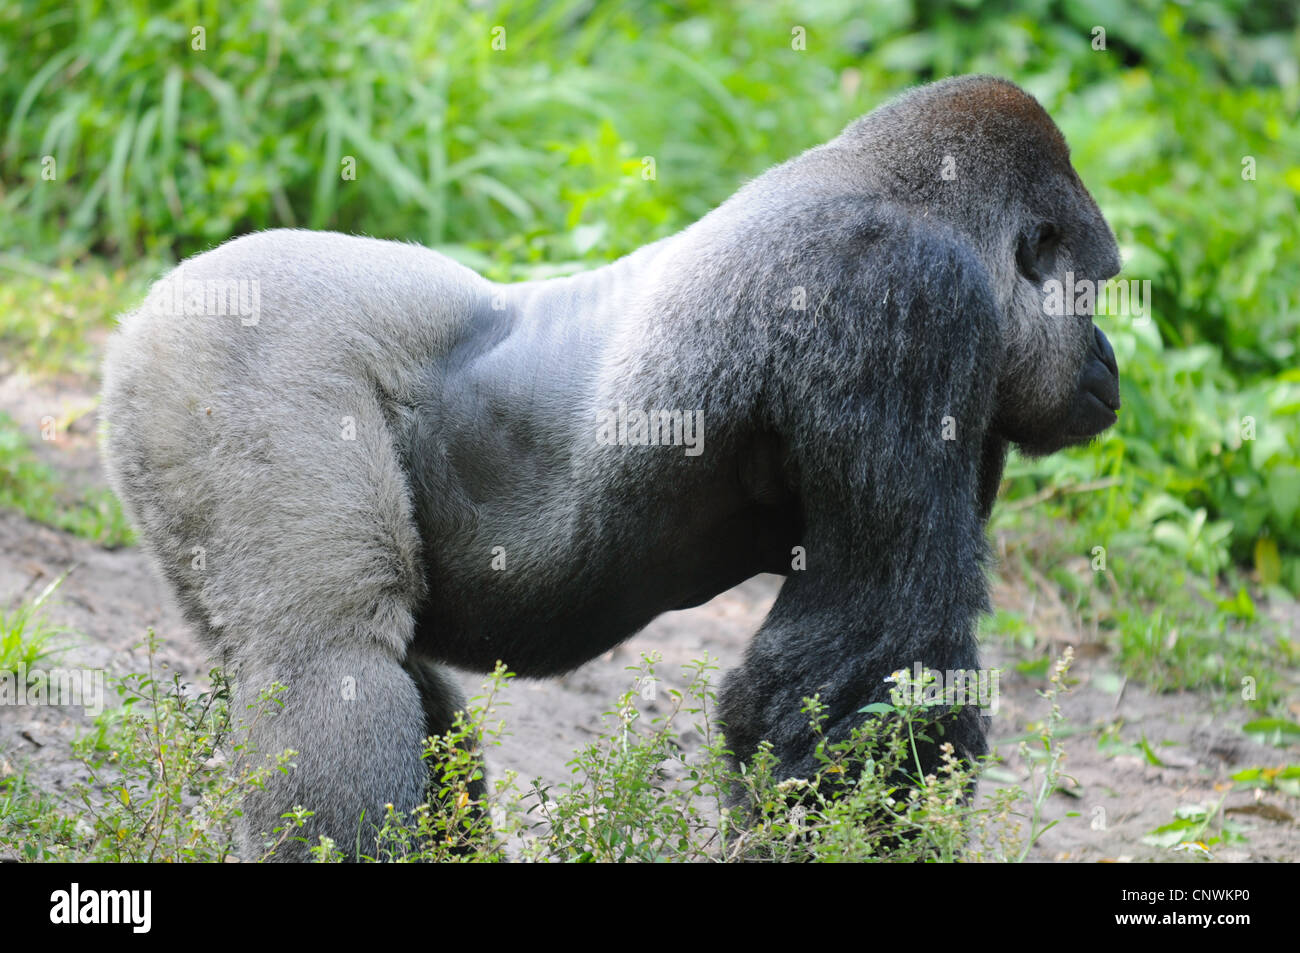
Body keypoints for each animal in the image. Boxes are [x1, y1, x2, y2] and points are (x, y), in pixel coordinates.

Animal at [100, 75, 1121, 860]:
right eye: (1100, 286)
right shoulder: (905, 291)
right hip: (236, 353)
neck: (916, 199)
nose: (1109, 362)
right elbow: (877, 651)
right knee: (327, 657)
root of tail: (145, 312)